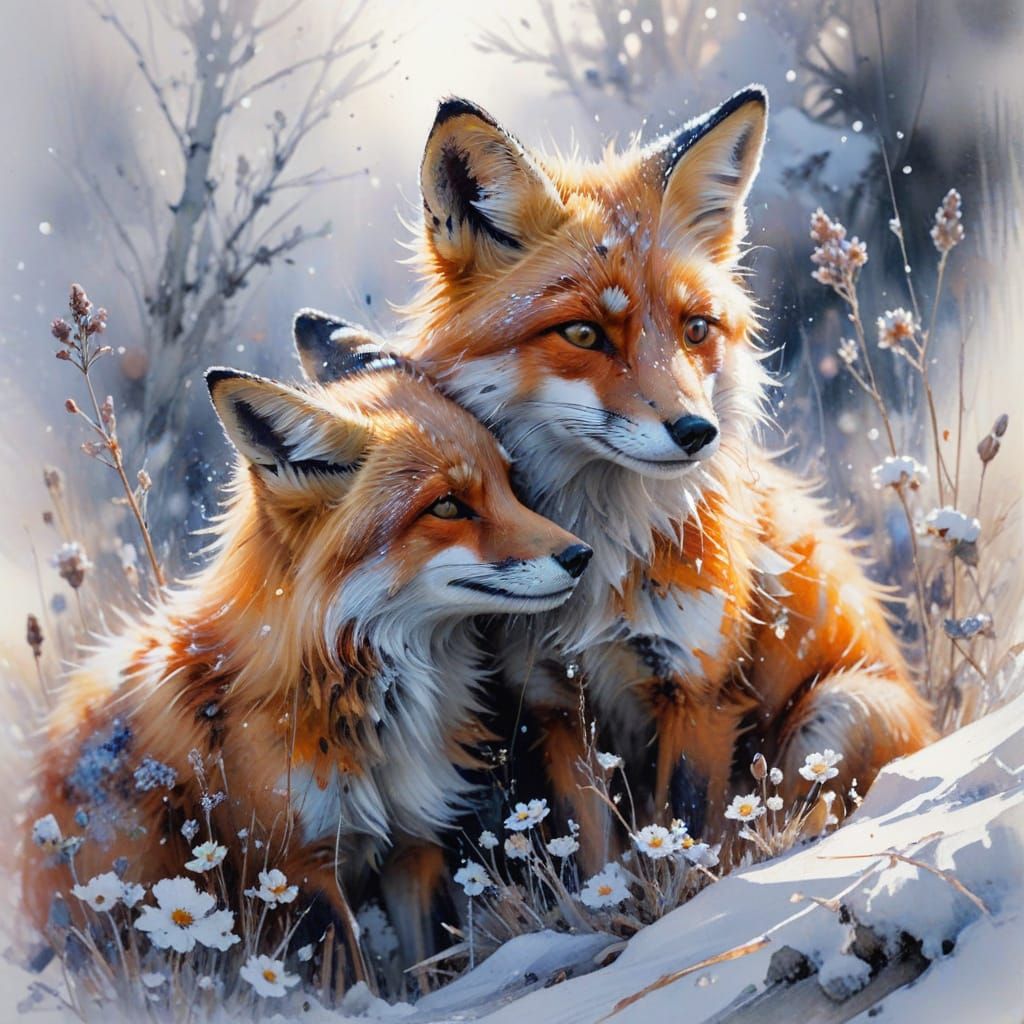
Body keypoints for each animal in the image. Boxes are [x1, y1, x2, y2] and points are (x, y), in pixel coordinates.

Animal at [21, 326, 592, 968]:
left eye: (511, 486)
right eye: (447, 505)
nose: (581, 555)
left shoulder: (411, 843)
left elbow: (423, 966)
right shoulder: (295, 867)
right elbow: (353, 977)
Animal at [392, 86, 936, 860]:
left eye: (696, 329)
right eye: (584, 333)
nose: (697, 432)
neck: (602, 562)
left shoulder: (700, 689)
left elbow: (685, 851)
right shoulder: (555, 704)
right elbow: (594, 860)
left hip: (835, 714)